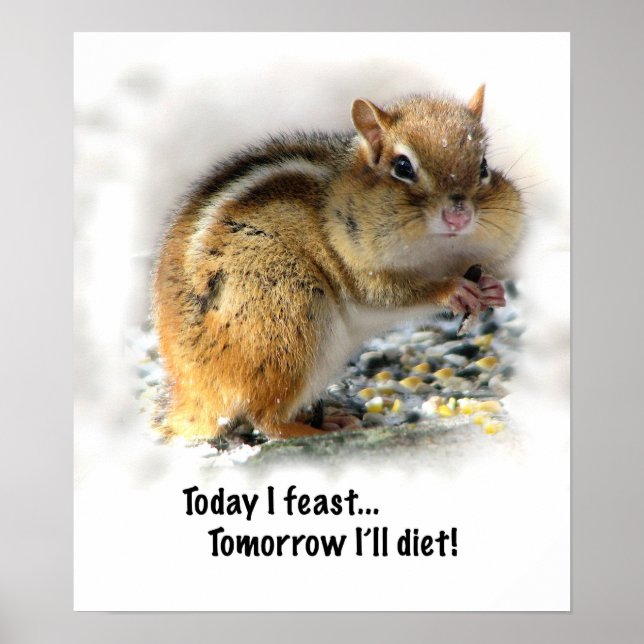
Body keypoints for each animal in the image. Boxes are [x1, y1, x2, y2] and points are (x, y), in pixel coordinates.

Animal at [152, 85, 523, 441]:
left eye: (484, 166)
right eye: (403, 167)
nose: (458, 216)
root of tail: (193, 394)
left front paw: (492, 288)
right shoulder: (358, 267)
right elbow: (389, 295)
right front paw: (452, 289)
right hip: (286, 311)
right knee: (265, 419)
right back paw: (311, 430)